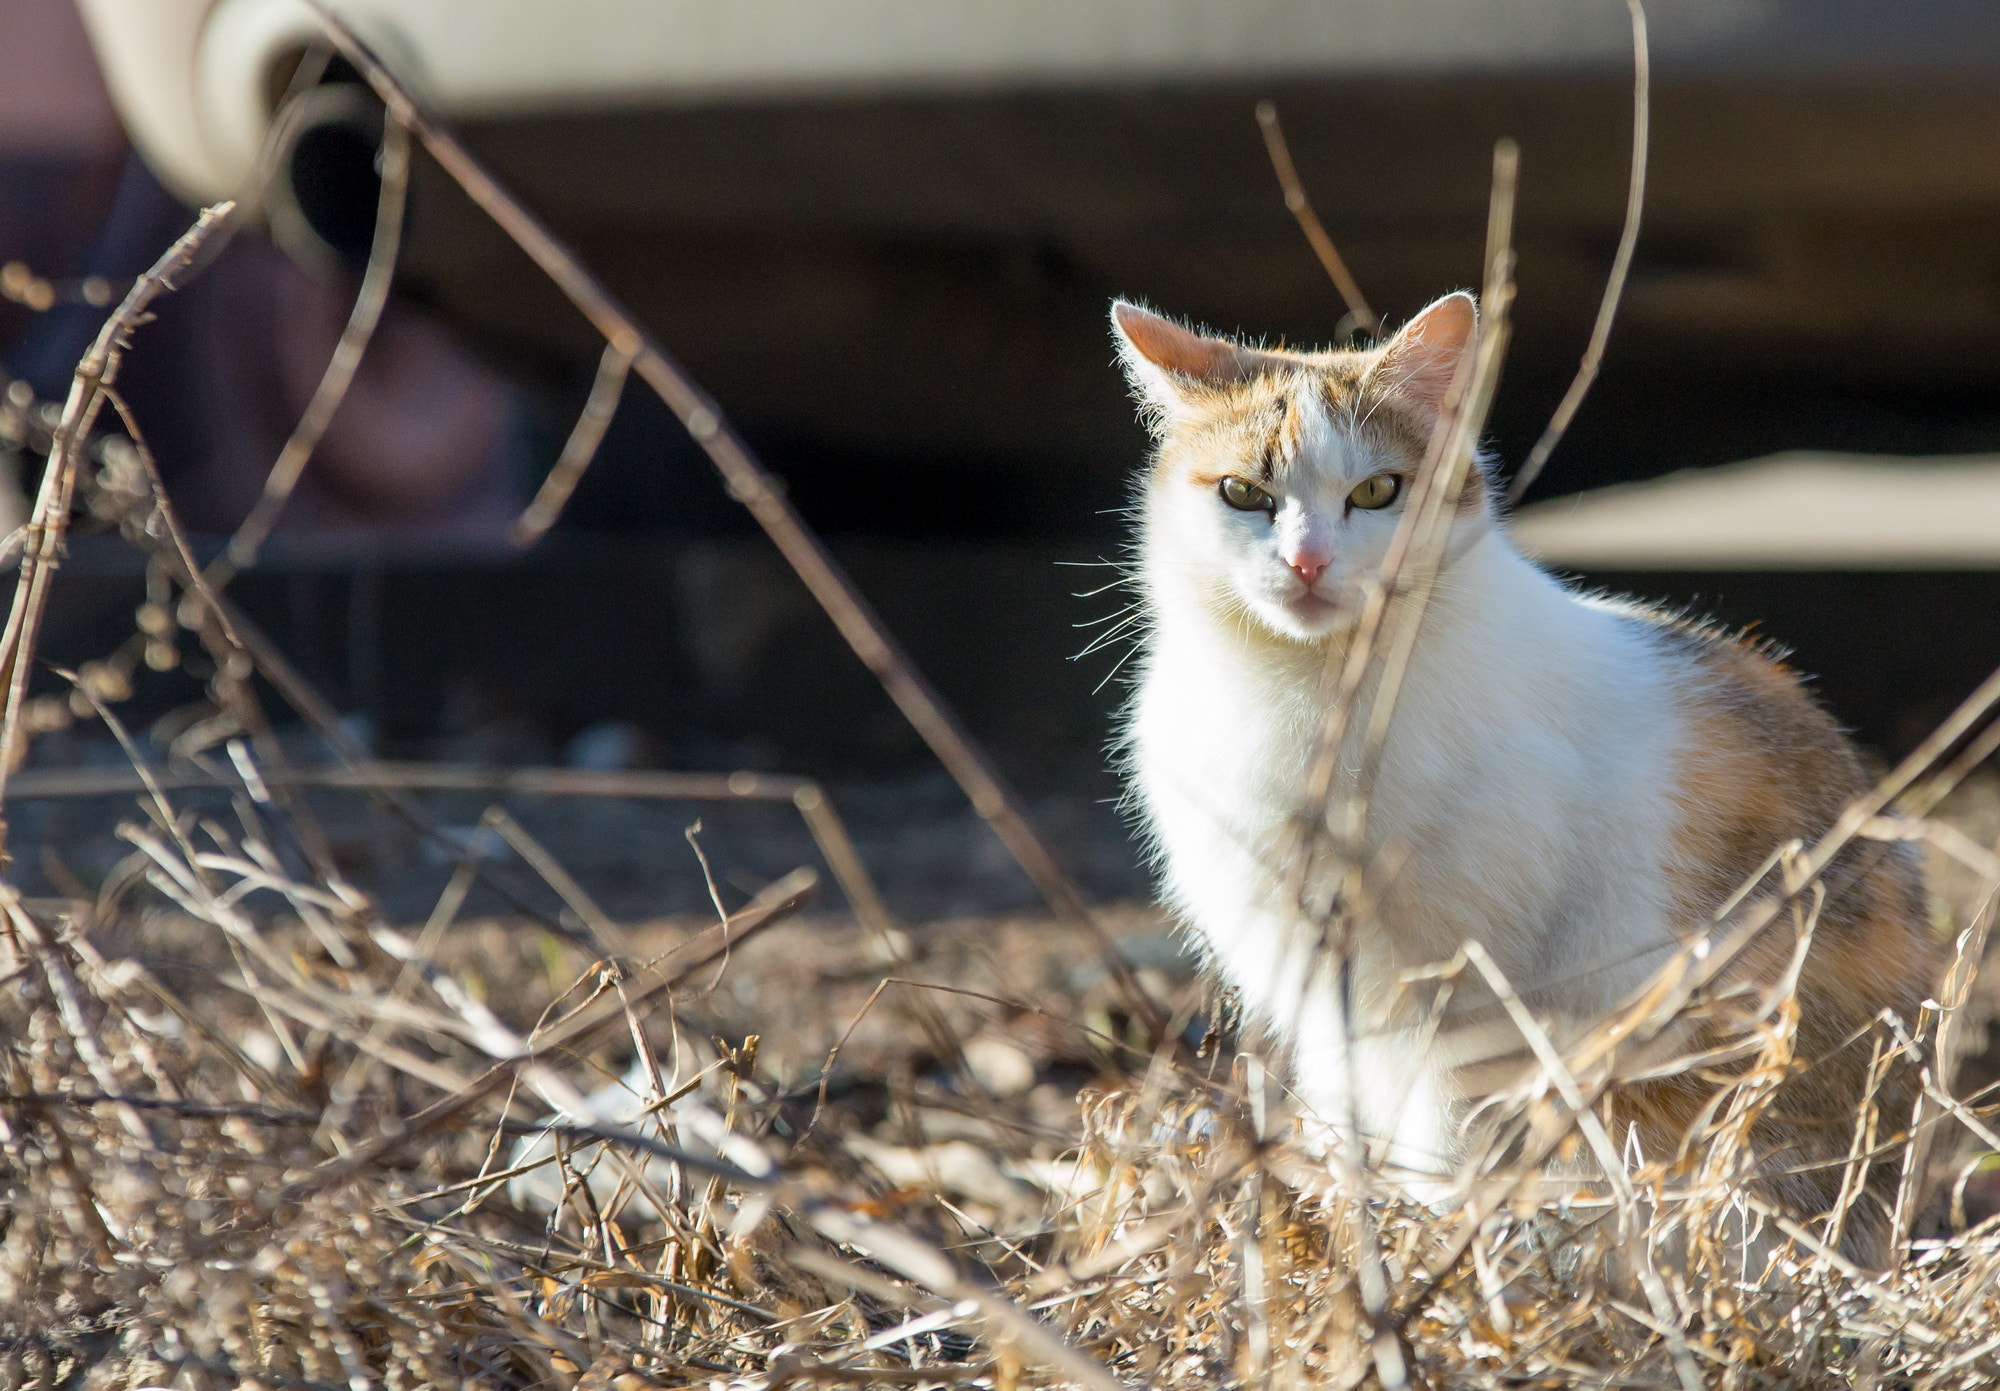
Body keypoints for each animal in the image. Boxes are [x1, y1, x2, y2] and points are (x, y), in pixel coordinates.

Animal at [1112, 293, 1936, 1263]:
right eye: (1245, 493)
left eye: (1377, 492)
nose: (1308, 563)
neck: (1318, 693)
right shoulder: (1318, 990)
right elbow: (1354, 1108)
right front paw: (1359, 1223)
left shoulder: (1458, 993)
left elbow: (1441, 1126)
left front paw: (1434, 1246)